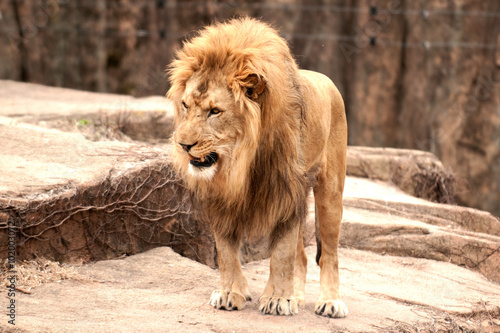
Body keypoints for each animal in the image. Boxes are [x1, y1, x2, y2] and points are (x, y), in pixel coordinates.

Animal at [168, 17, 348, 316]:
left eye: (214, 111)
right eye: (185, 105)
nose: (183, 145)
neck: (241, 160)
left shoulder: (286, 192)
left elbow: (282, 254)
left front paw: (278, 299)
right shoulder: (221, 197)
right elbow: (226, 252)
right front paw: (230, 292)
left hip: (330, 192)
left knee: (330, 254)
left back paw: (330, 302)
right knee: (302, 256)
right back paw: (298, 296)